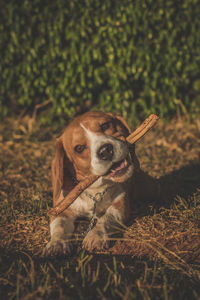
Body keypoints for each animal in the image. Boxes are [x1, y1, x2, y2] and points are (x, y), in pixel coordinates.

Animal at [42, 111, 159, 256]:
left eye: (105, 125)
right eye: (79, 148)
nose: (105, 151)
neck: (94, 190)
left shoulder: (120, 205)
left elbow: (106, 218)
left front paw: (95, 235)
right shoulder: (61, 211)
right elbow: (59, 226)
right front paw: (55, 244)